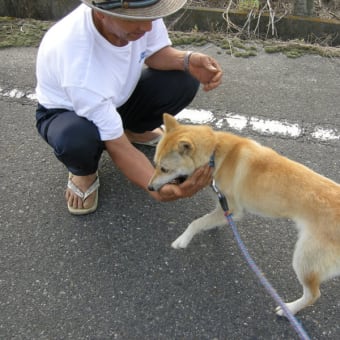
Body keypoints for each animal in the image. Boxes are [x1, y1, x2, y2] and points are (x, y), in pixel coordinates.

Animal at [148, 113, 340, 316]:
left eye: (164, 169)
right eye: (155, 164)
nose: (149, 188)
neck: (215, 154)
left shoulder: (233, 208)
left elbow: (196, 222)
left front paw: (183, 239)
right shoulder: (223, 203)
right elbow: (211, 218)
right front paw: (214, 226)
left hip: (304, 259)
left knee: (313, 294)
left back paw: (288, 309)